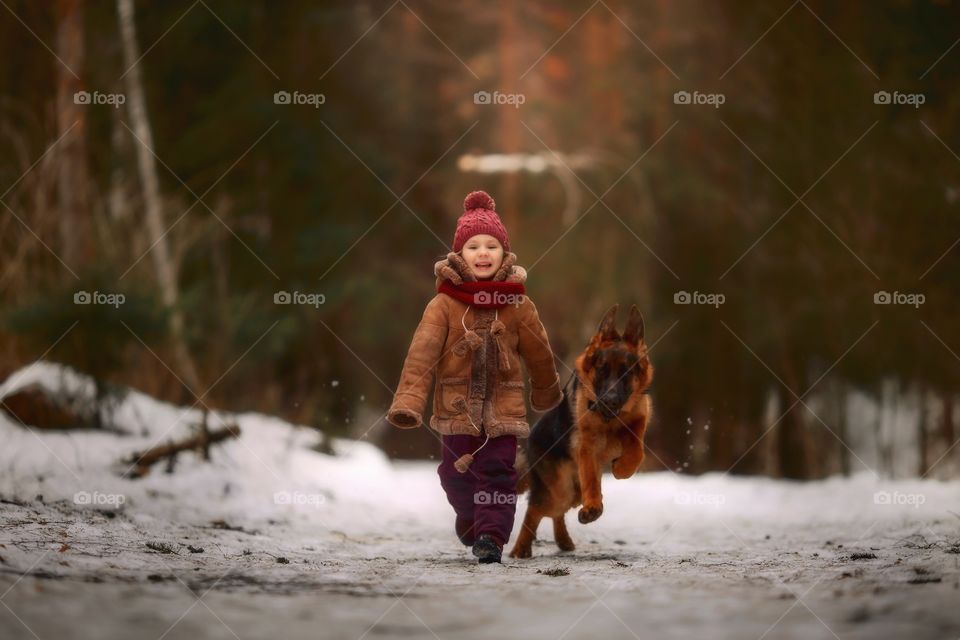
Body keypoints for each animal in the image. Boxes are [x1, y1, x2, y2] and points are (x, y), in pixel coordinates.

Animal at [510, 304, 652, 560]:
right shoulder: (586, 447)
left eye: (626, 373)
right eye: (602, 370)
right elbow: (591, 481)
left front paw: (621, 468)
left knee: (556, 512)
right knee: (536, 509)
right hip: (560, 490)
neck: (609, 421)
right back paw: (521, 548)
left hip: (572, 494)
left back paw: (564, 541)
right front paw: (594, 507)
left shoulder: (638, 423)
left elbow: (637, 451)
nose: (609, 400)